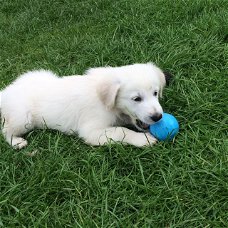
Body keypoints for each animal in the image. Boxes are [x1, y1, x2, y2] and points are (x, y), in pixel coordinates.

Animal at [0, 62, 170, 149]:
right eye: (136, 99)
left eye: (155, 93)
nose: (158, 117)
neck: (107, 102)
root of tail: (5, 92)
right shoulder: (91, 131)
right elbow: (120, 131)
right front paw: (143, 140)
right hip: (23, 117)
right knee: (6, 129)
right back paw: (16, 142)